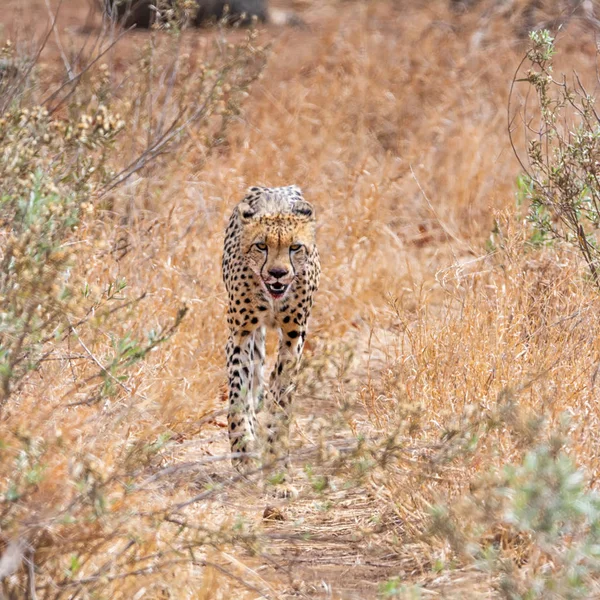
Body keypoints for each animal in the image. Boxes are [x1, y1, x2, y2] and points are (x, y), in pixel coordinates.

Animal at [223, 185, 322, 480]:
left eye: (295, 247)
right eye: (261, 246)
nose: (278, 273)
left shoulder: (293, 336)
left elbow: (282, 395)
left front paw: (277, 455)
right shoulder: (240, 333)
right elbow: (238, 392)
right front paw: (243, 450)